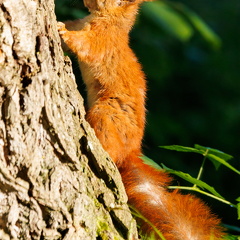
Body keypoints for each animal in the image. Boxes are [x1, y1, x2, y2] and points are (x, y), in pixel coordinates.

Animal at [57, 0, 225, 238]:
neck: (106, 20)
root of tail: (131, 151)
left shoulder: (102, 41)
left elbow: (84, 45)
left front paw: (62, 30)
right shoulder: (82, 23)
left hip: (106, 116)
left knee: (110, 150)